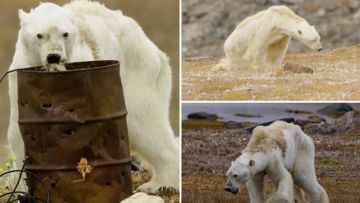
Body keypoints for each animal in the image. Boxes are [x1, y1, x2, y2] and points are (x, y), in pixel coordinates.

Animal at [7, 0, 179, 193]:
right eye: (39, 35)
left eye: (65, 34)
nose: (54, 57)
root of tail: (155, 51)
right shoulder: (20, 76)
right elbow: (19, 133)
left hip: (136, 73)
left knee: (143, 122)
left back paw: (158, 184)